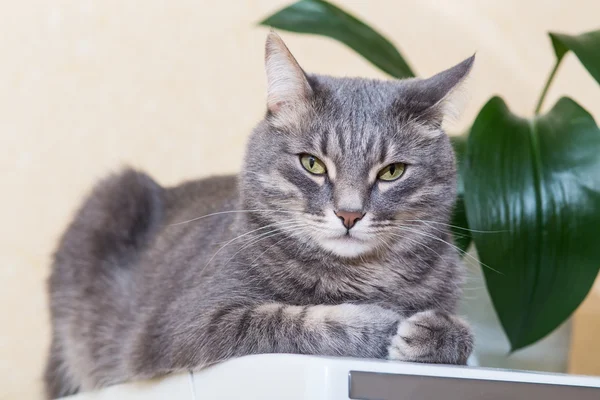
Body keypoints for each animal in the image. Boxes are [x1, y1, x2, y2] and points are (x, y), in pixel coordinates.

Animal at [44, 32, 476, 398]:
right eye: (312, 164)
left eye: (392, 172)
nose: (349, 214)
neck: (358, 276)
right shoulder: (195, 321)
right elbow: (293, 320)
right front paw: (380, 322)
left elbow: (466, 335)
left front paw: (437, 331)